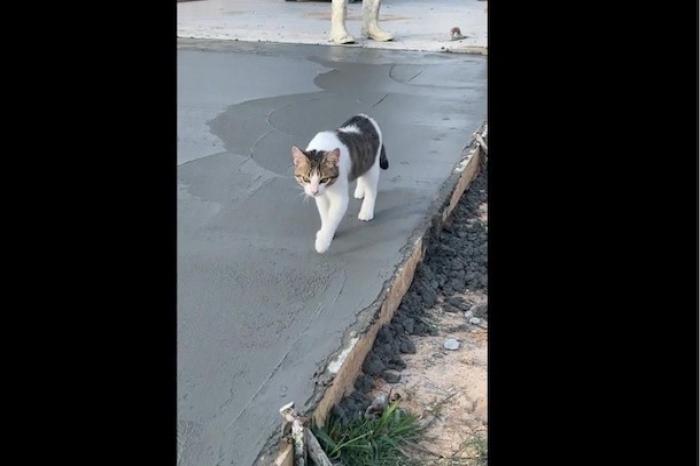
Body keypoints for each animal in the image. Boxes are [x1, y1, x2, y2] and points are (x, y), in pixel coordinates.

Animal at [290, 114, 388, 255]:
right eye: (305, 178)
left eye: (324, 179)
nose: (314, 191)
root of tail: (366, 117)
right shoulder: (321, 197)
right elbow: (325, 214)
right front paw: (327, 232)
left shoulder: (339, 197)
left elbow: (332, 217)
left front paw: (322, 242)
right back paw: (360, 191)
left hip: (372, 164)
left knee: (371, 189)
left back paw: (366, 211)